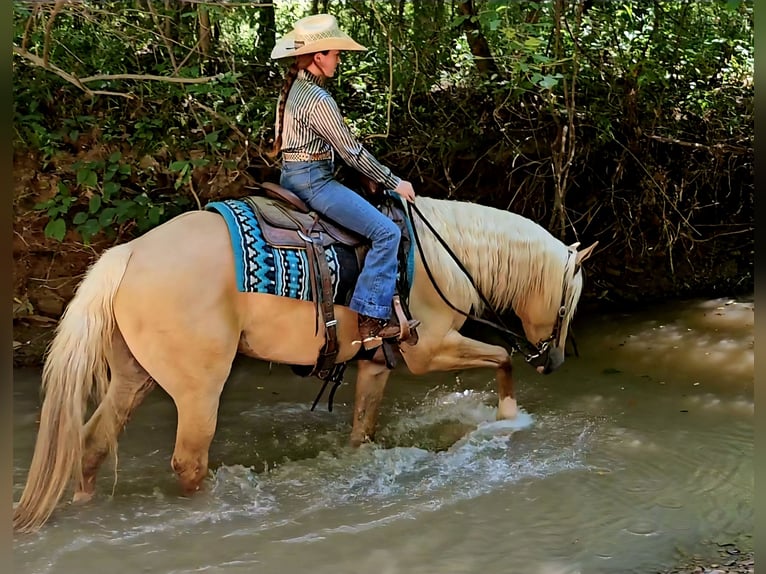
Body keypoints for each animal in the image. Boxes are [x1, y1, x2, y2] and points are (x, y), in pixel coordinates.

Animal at [12, 194, 597, 533]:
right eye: (568, 302)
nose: (554, 360)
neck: (442, 252)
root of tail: (128, 254)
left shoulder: (377, 362)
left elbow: (362, 429)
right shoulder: (428, 350)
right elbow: (501, 357)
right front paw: (509, 416)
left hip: (134, 377)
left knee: (93, 441)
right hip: (198, 388)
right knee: (188, 462)